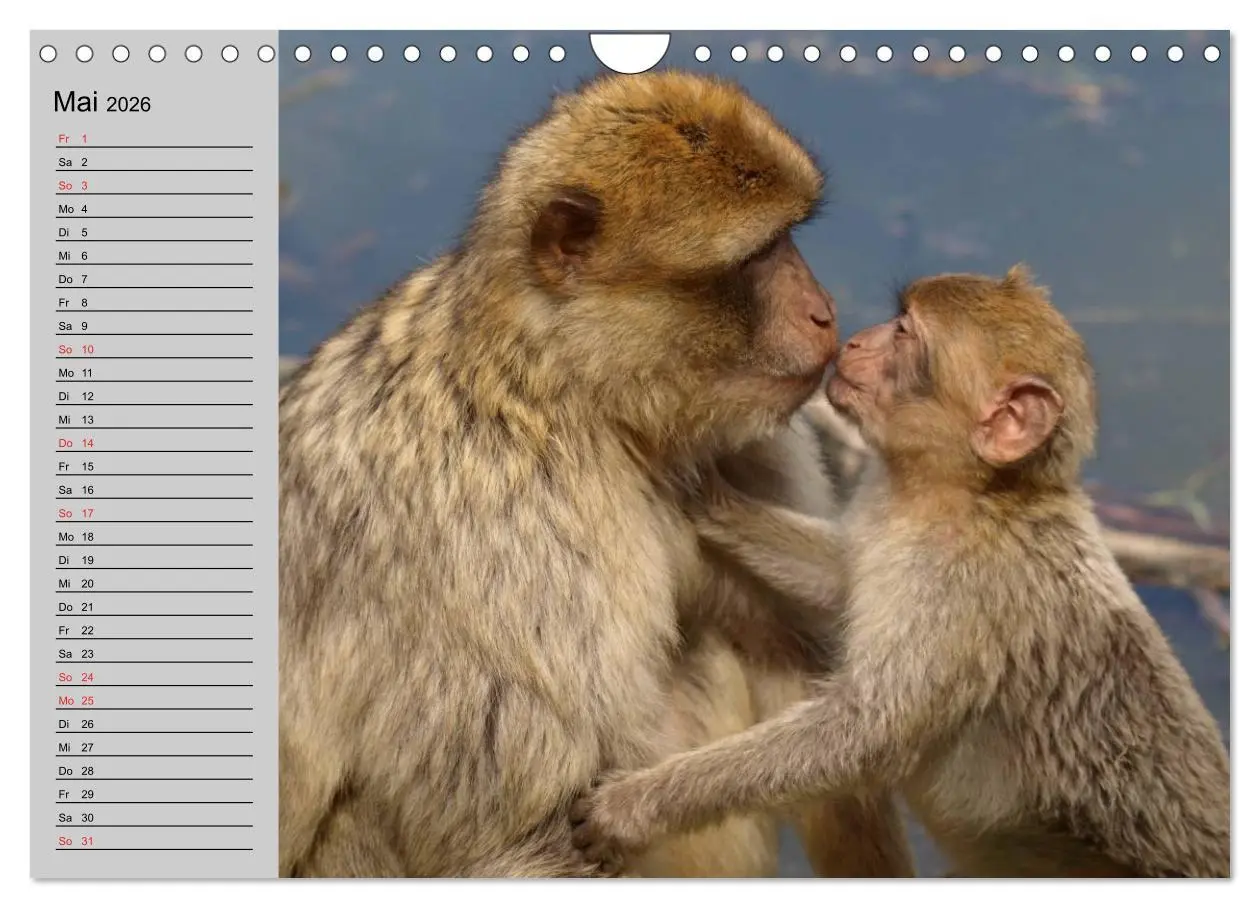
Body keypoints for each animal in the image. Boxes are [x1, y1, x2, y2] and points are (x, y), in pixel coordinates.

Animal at [278, 70, 913, 877]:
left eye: (789, 240)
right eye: (759, 255)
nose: (824, 313)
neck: (563, 391)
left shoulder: (744, 449)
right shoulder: (511, 539)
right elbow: (518, 833)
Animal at [569, 266, 1232, 878]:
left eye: (906, 333)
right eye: (898, 318)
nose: (855, 338)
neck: (967, 495)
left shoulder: (957, 588)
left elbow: (862, 735)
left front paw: (637, 805)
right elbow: (841, 576)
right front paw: (707, 495)